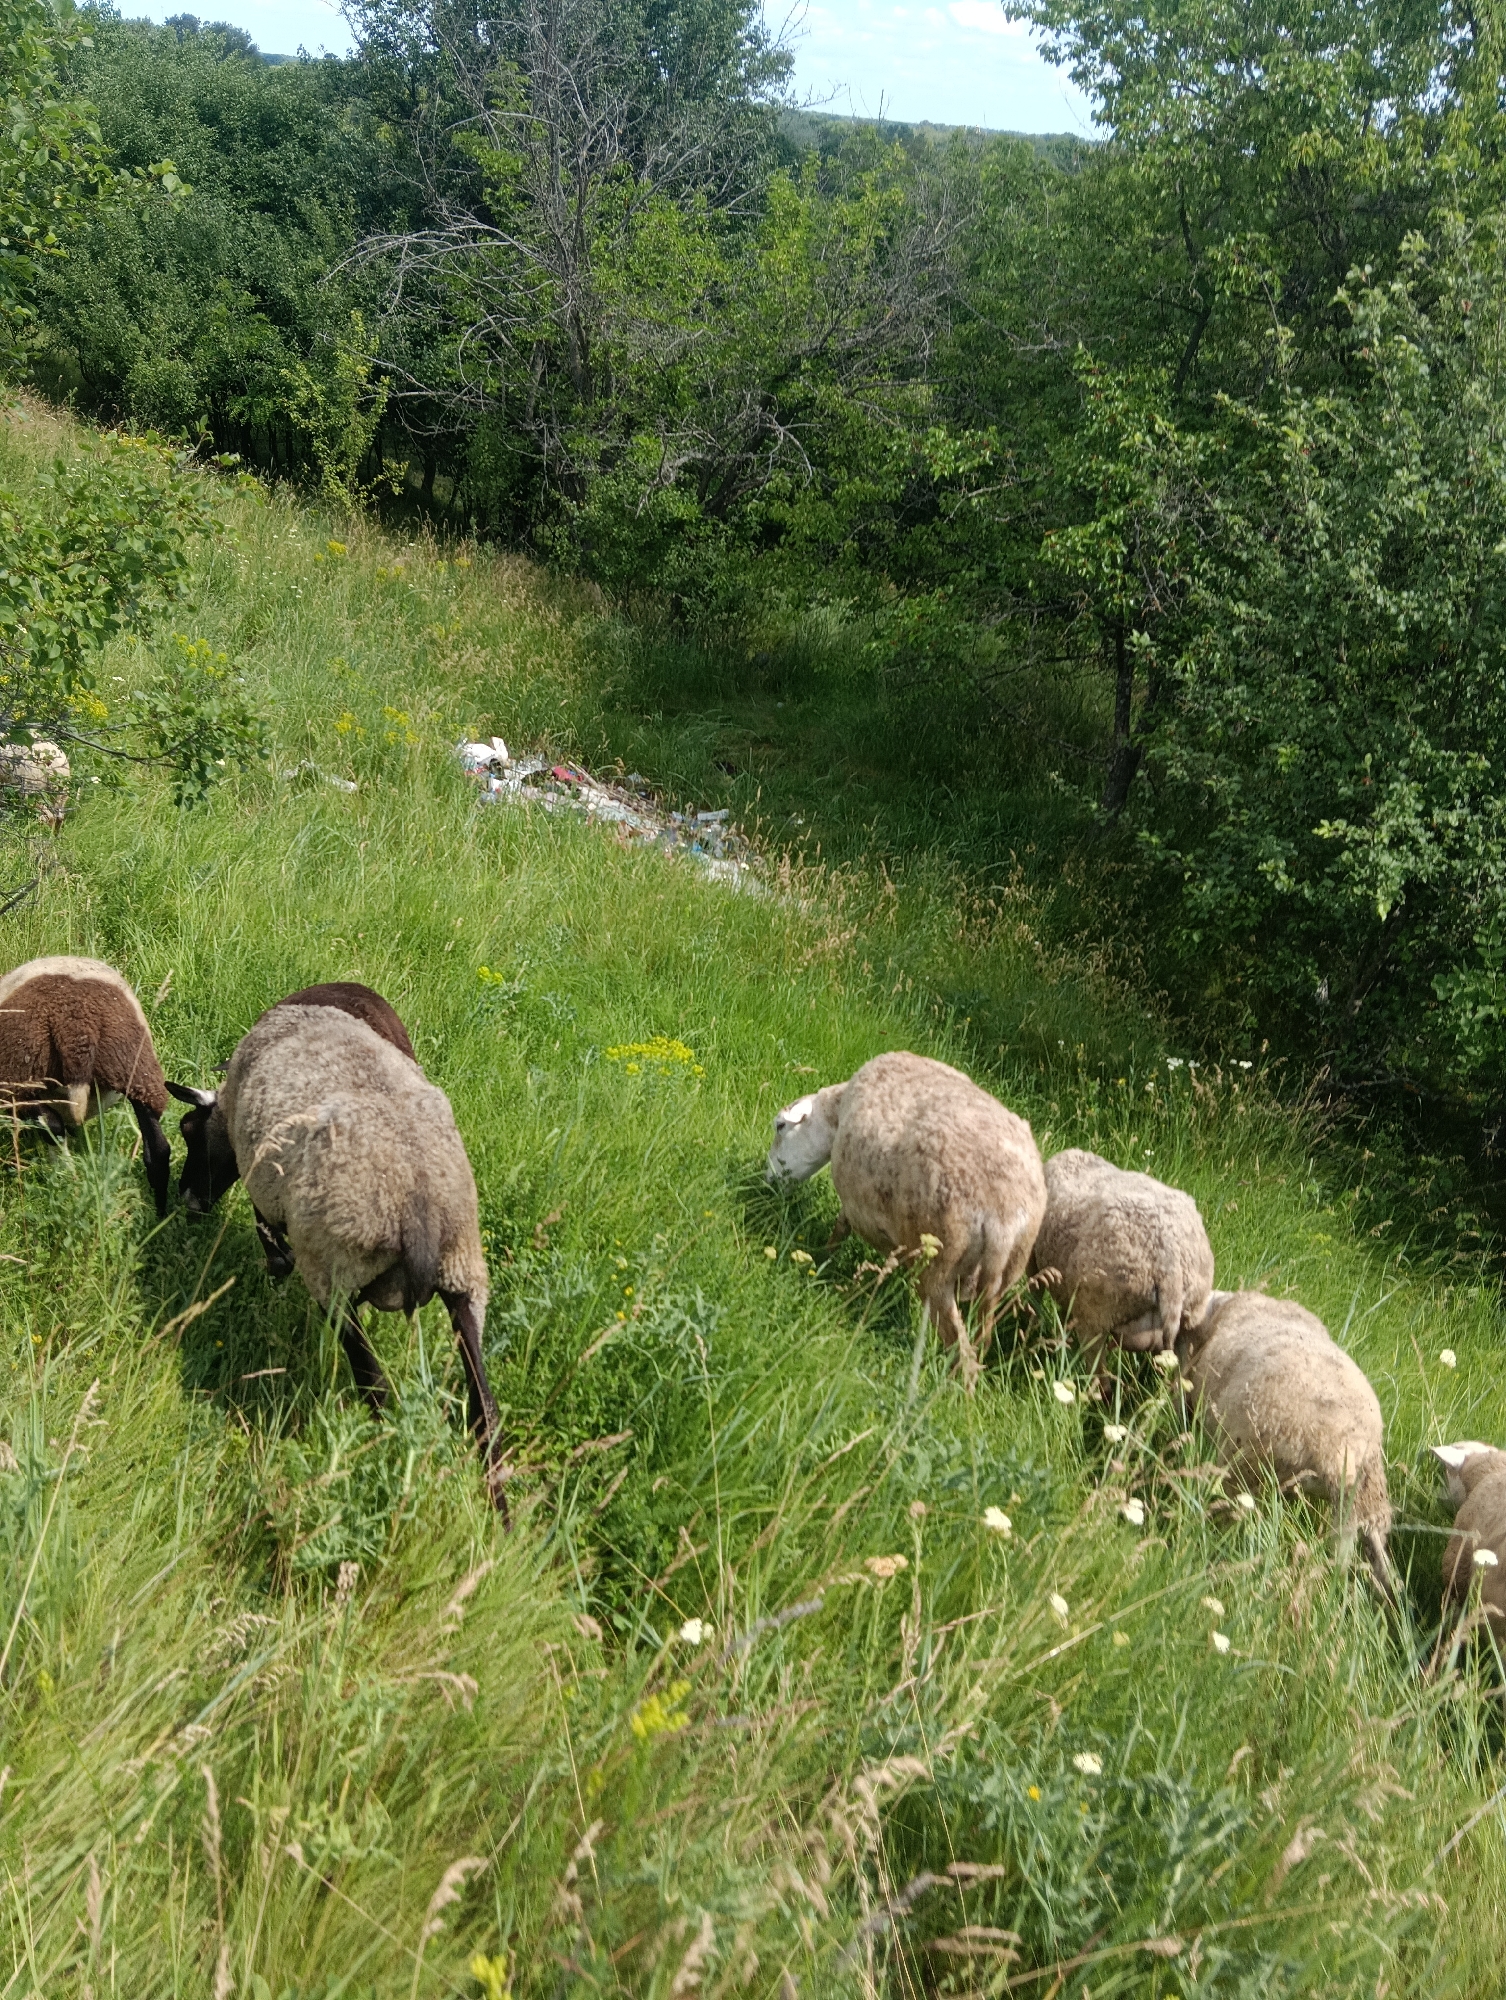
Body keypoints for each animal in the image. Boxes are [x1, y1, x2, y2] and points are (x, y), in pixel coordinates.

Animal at [0, 955, 172, 1215]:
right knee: (158, 1150)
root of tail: (76, 1024)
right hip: (135, 1065)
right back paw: (161, 1215)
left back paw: (66, 1178)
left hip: (17, 1076)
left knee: (51, 1126)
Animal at [169, 998, 504, 1509]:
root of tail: (418, 1208)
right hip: (464, 1271)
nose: (186, 1200)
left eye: (188, 1130)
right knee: (485, 1413)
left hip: (334, 1270)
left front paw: (275, 1265)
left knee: (375, 1387)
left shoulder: (263, 1184)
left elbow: (269, 1237)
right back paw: (501, 1515)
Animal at [767, 1050, 1046, 1389]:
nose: (767, 1180)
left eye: (780, 1126)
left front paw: (823, 1259)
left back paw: (948, 1396)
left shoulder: (856, 1203)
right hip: (1003, 1278)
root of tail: (1003, 1216)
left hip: (939, 1268)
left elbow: (841, 1228)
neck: (836, 1112)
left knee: (962, 1353)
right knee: (982, 1340)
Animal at [1178, 1291, 1394, 1594]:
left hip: (1244, 1468)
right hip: (1367, 1490)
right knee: (1366, 1536)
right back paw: (1385, 1586)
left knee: (1230, 1514)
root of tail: (1336, 1449)